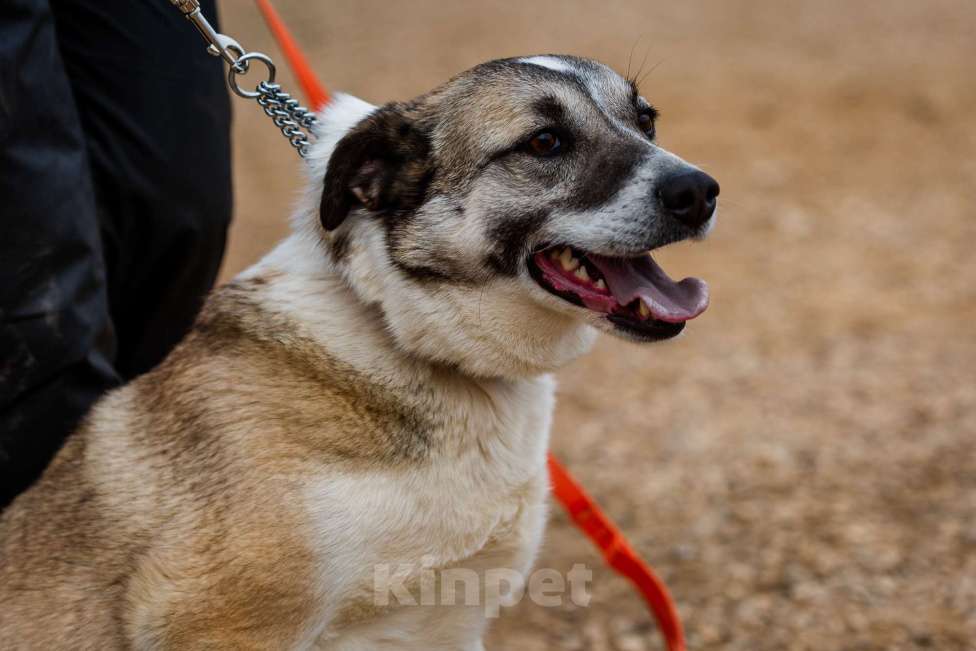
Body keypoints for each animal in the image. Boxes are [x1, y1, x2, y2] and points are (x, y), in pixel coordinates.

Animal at [0, 57, 716, 651]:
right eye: (545, 142)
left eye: (645, 120)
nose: (701, 191)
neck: (402, 330)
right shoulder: (217, 625)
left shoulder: (447, 625)